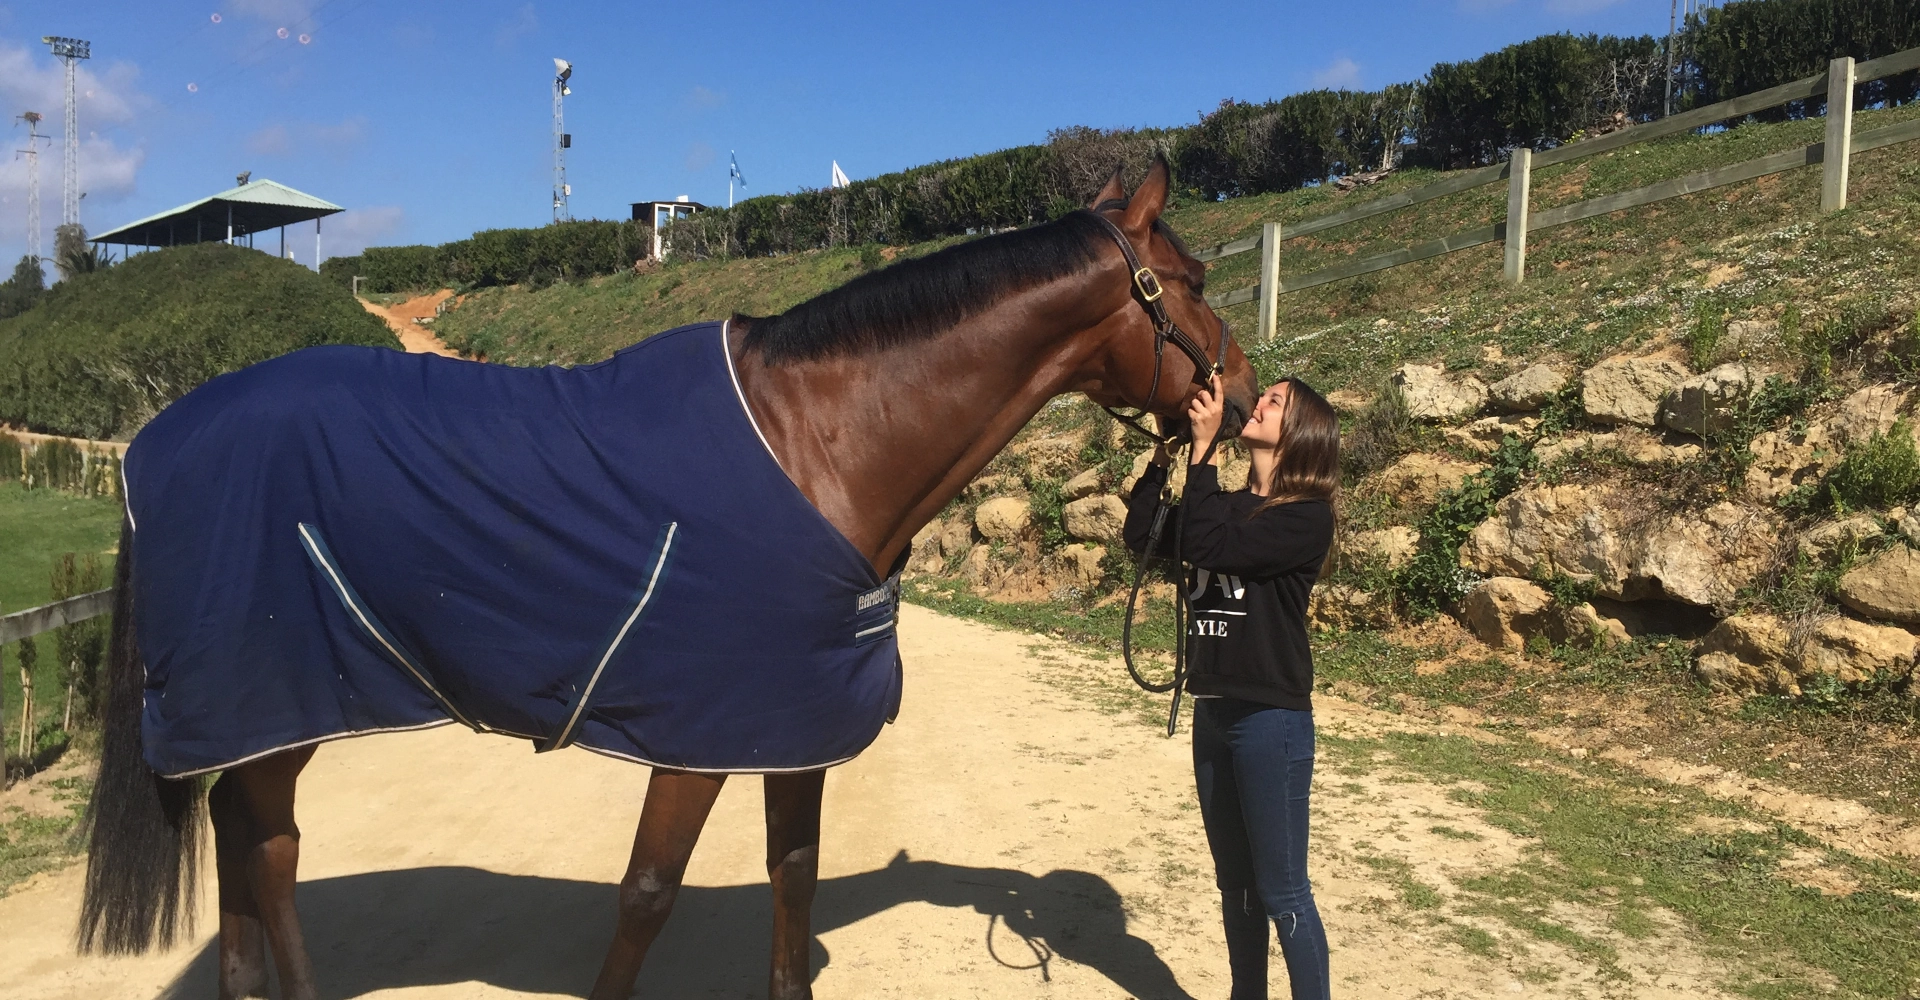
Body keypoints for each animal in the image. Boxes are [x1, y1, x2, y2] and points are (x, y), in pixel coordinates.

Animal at [77, 158, 1257, 1000]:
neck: (820, 445)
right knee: (269, 848)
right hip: (283, 694)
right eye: (1193, 284)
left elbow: (793, 880)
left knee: (237, 836)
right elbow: (647, 896)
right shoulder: (700, 736)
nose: (1246, 398)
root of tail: (155, 441)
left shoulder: (790, 725)